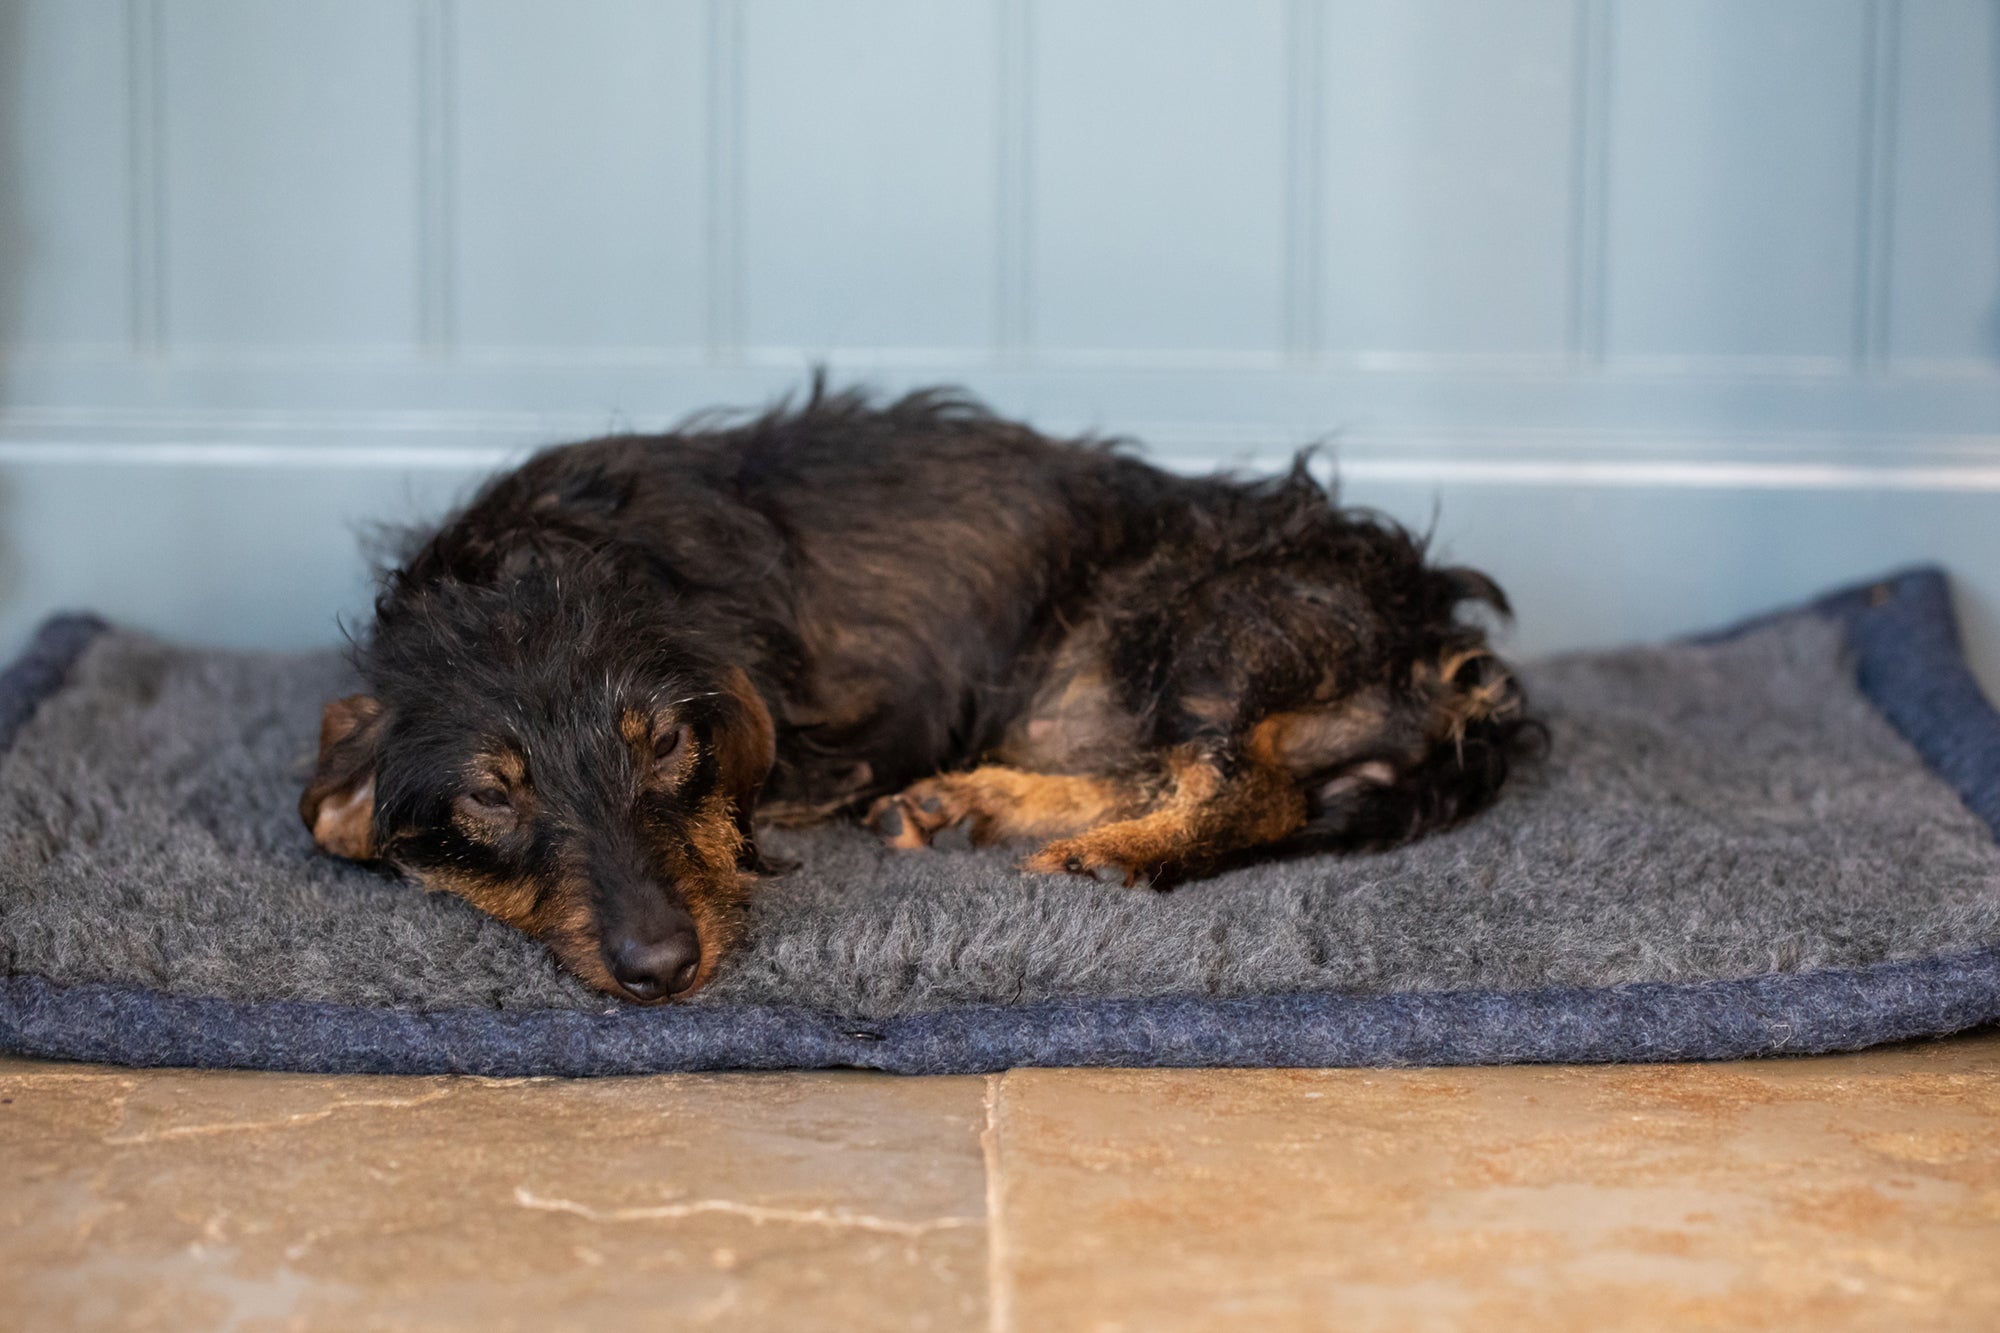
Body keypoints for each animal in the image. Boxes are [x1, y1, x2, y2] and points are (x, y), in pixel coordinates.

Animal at [300, 376, 1528, 996]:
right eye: (489, 795)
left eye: (666, 746)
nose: (663, 968)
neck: (544, 561)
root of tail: (1446, 647)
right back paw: (981, 802)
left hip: (1215, 628)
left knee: (1242, 785)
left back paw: (1114, 853)